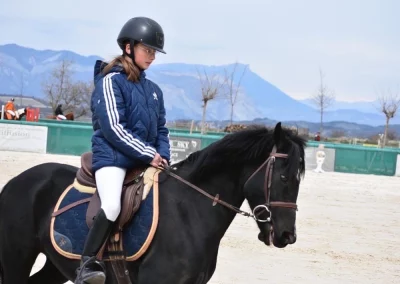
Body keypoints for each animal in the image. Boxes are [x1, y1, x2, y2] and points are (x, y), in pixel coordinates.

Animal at [0, 123, 306, 284]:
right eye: (283, 177)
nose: (287, 236)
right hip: (16, 260)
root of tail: (15, 182)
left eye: (299, 178)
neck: (190, 213)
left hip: (55, 264)